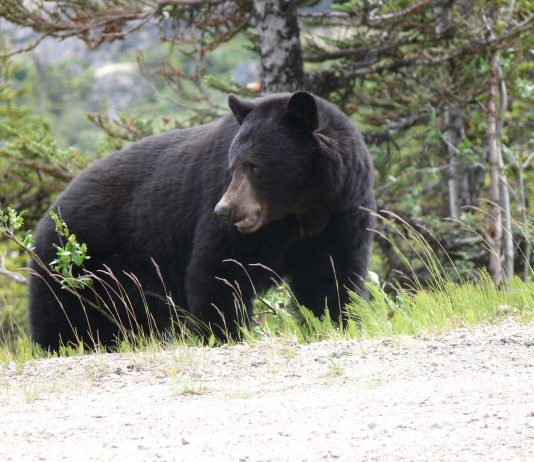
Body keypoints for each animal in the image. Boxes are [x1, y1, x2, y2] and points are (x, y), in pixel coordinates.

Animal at [27, 91, 374, 350]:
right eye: (232, 166)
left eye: (255, 166)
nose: (225, 210)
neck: (301, 211)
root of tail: (48, 216)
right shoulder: (238, 227)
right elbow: (219, 270)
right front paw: (225, 332)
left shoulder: (340, 215)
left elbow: (330, 277)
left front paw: (335, 322)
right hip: (74, 264)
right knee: (62, 316)